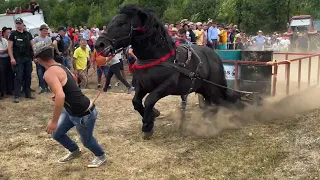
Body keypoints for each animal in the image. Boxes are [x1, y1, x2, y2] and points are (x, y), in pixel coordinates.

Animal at [95, 5, 245, 138]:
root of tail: (215, 56)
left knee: (218, 103)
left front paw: (148, 125)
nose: (99, 45)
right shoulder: (142, 84)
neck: (157, 57)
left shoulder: (167, 86)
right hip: (203, 88)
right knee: (211, 104)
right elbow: (136, 102)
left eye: (121, 23)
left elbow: (149, 100)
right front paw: (153, 114)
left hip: (213, 88)